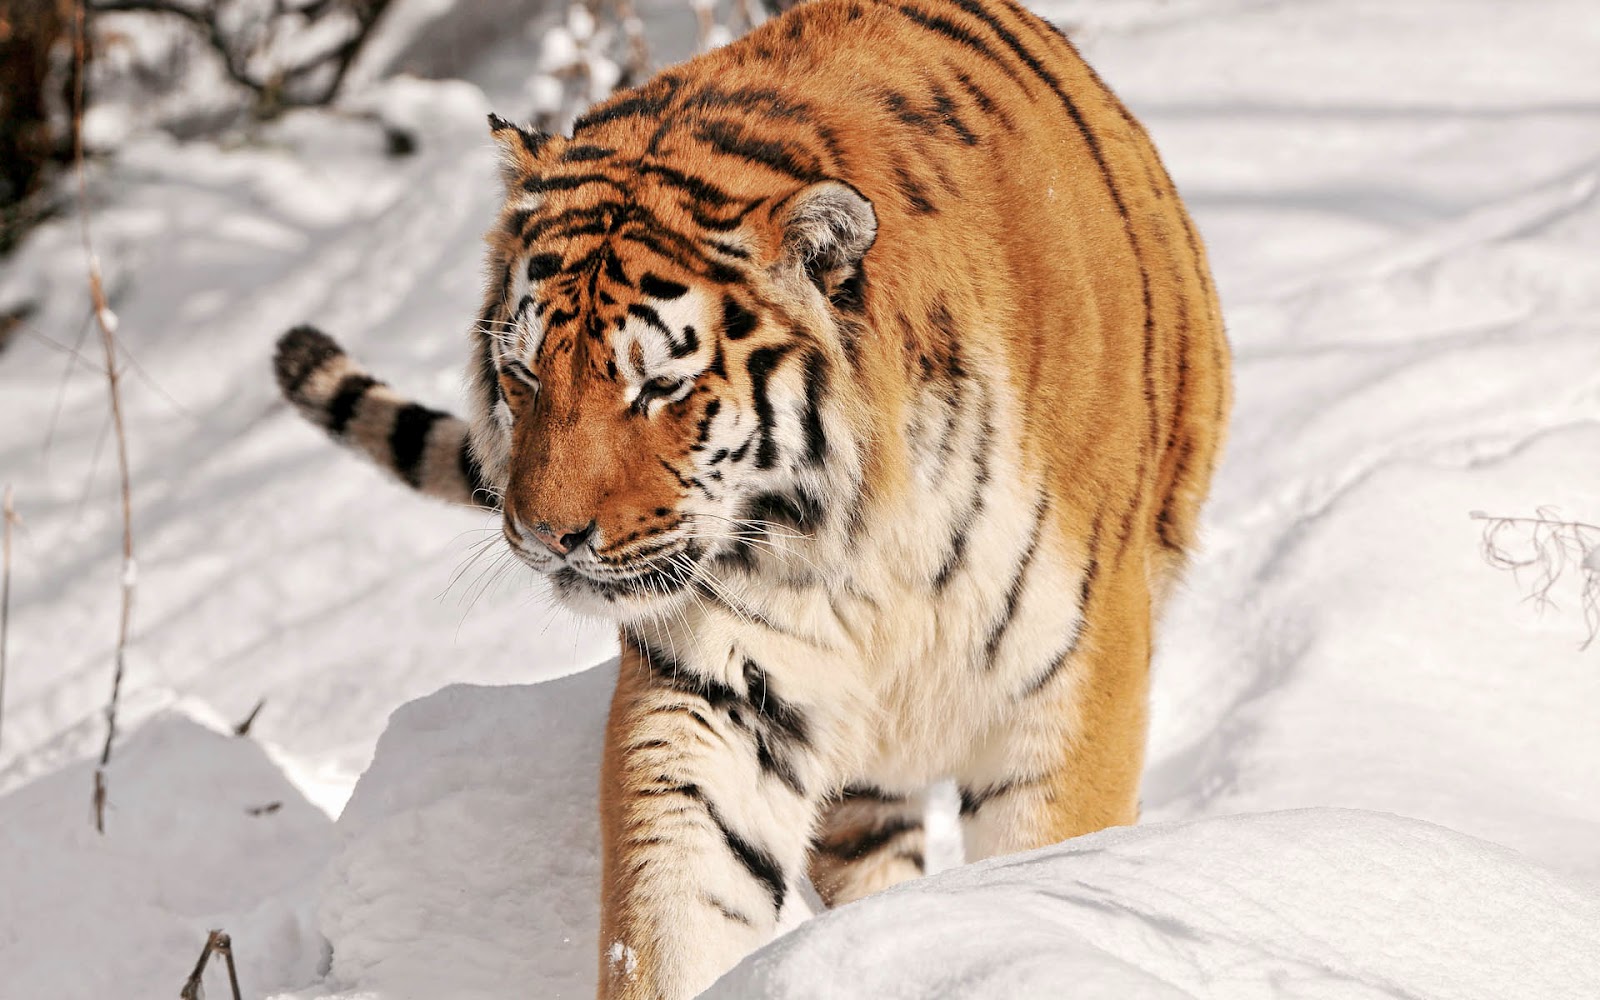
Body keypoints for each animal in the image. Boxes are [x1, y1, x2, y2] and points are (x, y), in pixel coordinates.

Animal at [272, 0, 1229, 995]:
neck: (868, 532)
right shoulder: (720, 688)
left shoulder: (1070, 684)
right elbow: (677, 903)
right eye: (524, 374)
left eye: (658, 387)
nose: (544, 535)